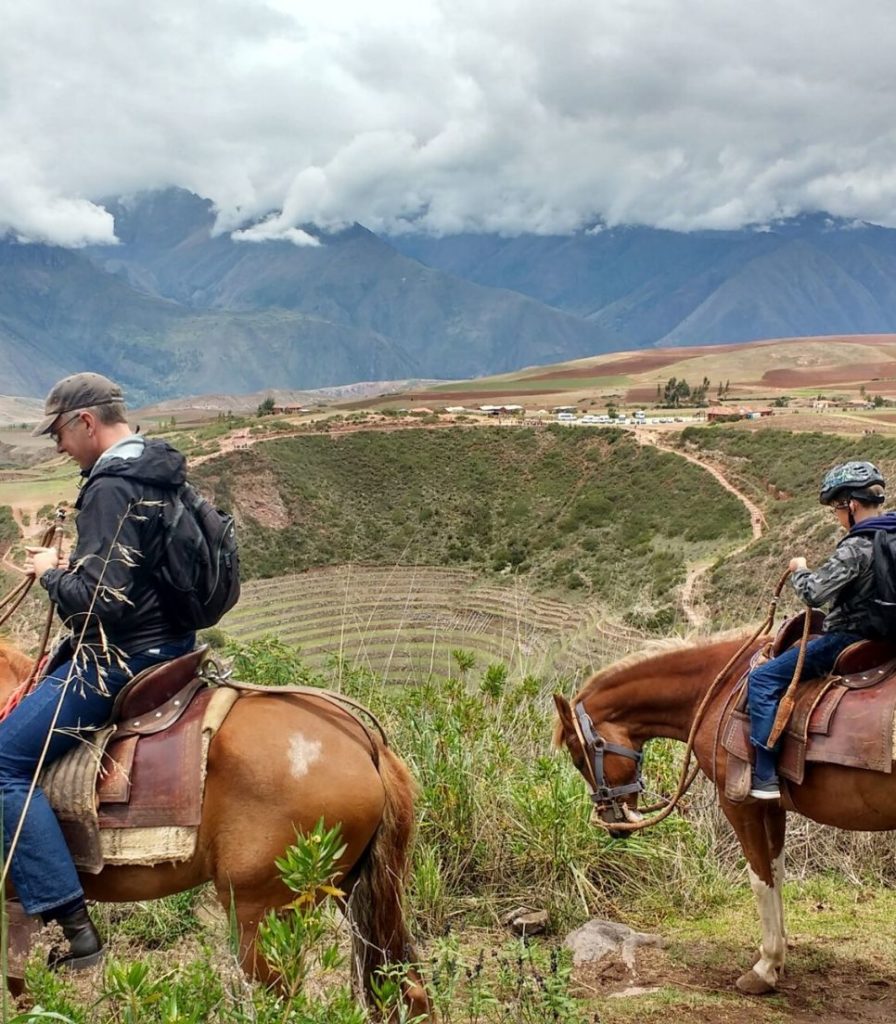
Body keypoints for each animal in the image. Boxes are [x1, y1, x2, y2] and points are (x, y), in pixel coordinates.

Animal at [548, 630, 896, 999]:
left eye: (578, 759)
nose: (613, 825)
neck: (713, 690)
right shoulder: (772, 808)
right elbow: (776, 873)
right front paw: (778, 959)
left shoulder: (740, 804)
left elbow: (759, 879)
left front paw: (765, 968)